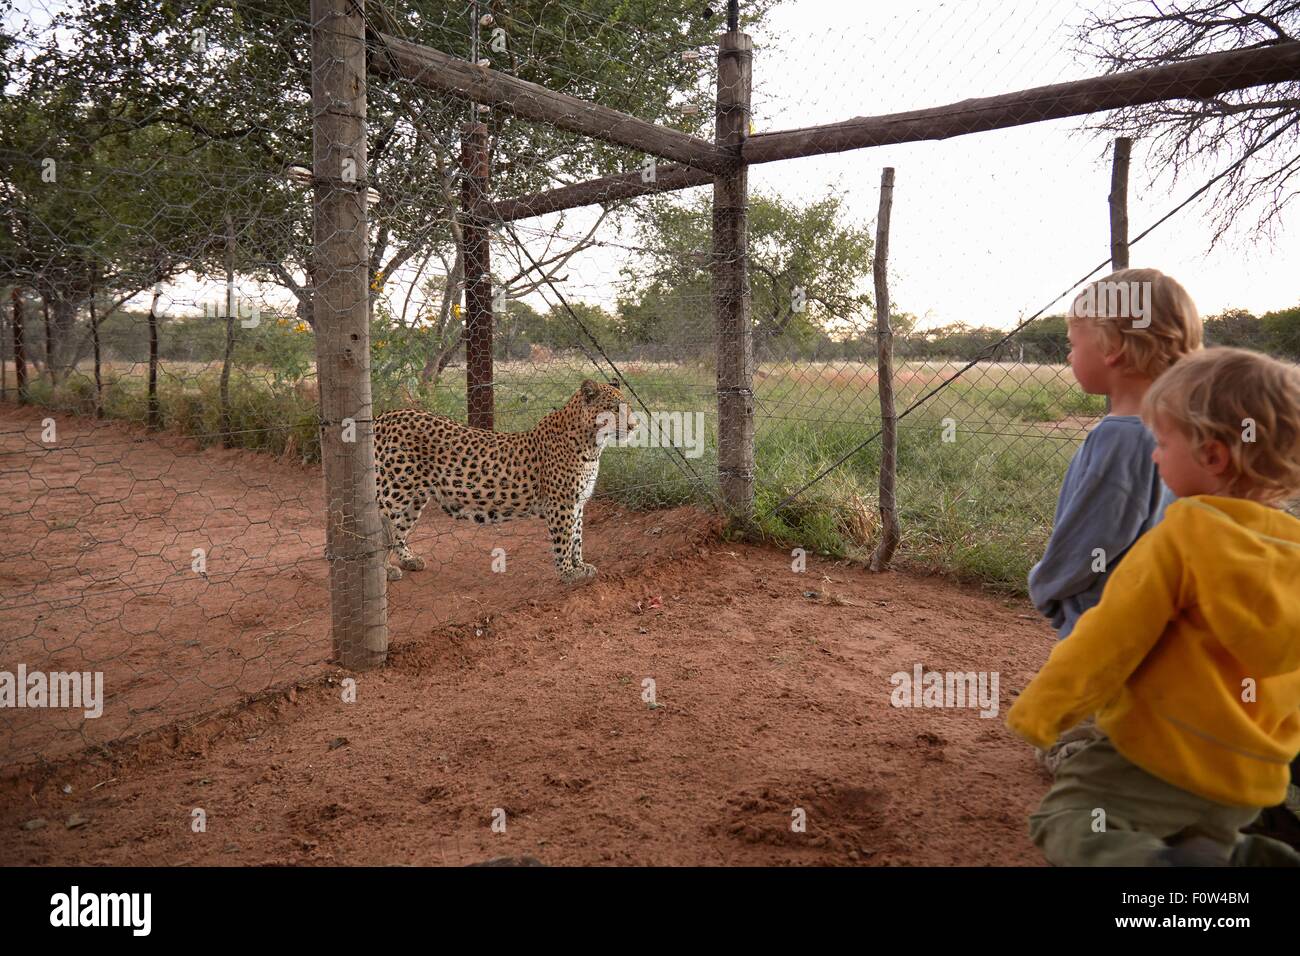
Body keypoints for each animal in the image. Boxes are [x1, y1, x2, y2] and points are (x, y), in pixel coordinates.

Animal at [373, 379, 638, 583]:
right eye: (614, 409)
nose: (634, 426)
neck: (592, 446)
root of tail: (382, 417)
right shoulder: (561, 503)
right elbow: (564, 539)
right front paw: (567, 573)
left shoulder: (578, 502)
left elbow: (577, 537)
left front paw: (580, 566)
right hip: (393, 493)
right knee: (377, 533)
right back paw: (383, 572)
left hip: (414, 497)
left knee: (399, 530)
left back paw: (408, 560)